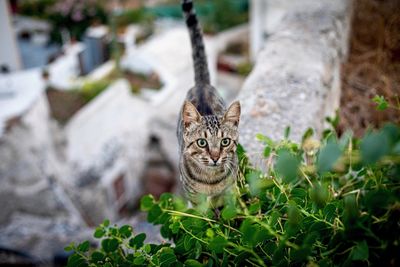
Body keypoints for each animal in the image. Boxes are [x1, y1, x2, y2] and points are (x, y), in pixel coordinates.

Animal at [177, 0, 241, 207]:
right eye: (202, 142)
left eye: (225, 141)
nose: (215, 157)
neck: (210, 181)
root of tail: (202, 84)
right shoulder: (195, 199)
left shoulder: (228, 192)